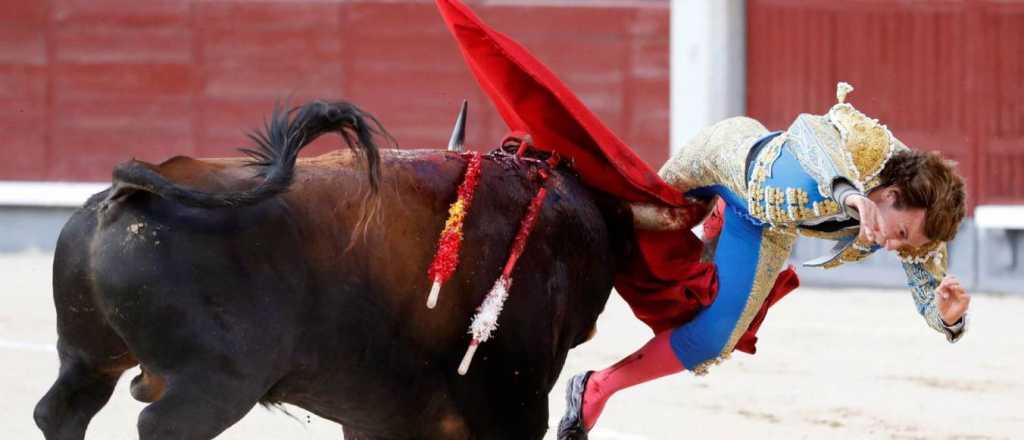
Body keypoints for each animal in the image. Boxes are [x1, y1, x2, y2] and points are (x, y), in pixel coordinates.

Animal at [36, 100, 634, 440]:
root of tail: (128, 191)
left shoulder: (381, 418)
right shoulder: (513, 406)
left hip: (89, 355)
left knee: (60, 411)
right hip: (211, 386)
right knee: (158, 427)